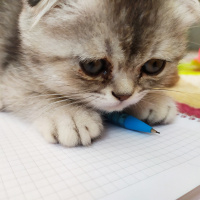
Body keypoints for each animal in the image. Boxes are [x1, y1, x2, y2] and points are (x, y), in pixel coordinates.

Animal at [0, 0, 200, 147]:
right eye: (93, 65)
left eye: (154, 65)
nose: (123, 96)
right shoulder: (9, 75)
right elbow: (30, 92)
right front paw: (68, 113)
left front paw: (152, 99)